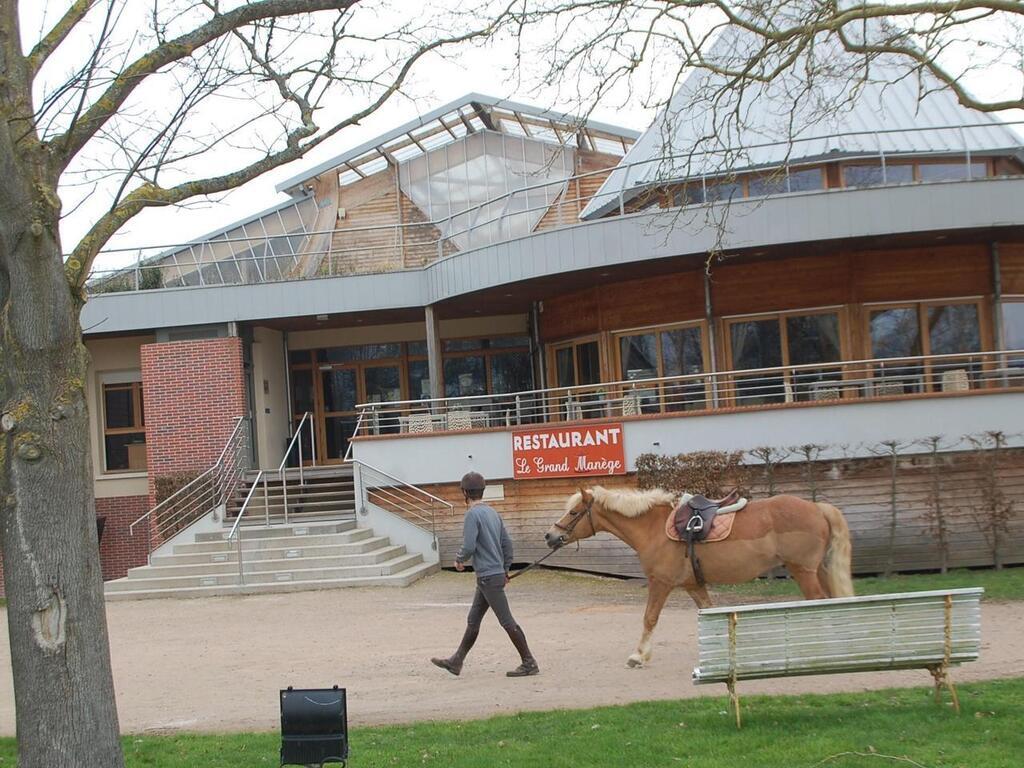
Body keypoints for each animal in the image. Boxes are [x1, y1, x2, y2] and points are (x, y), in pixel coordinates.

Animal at [548, 489, 851, 671]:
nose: (550, 536)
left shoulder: (661, 583)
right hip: (818, 570)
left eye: (573, 512)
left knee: (818, 604)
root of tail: (817, 508)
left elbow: (649, 618)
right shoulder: (693, 585)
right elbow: (710, 612)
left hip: (803, 571)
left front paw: (638, 655)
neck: (653, 529)